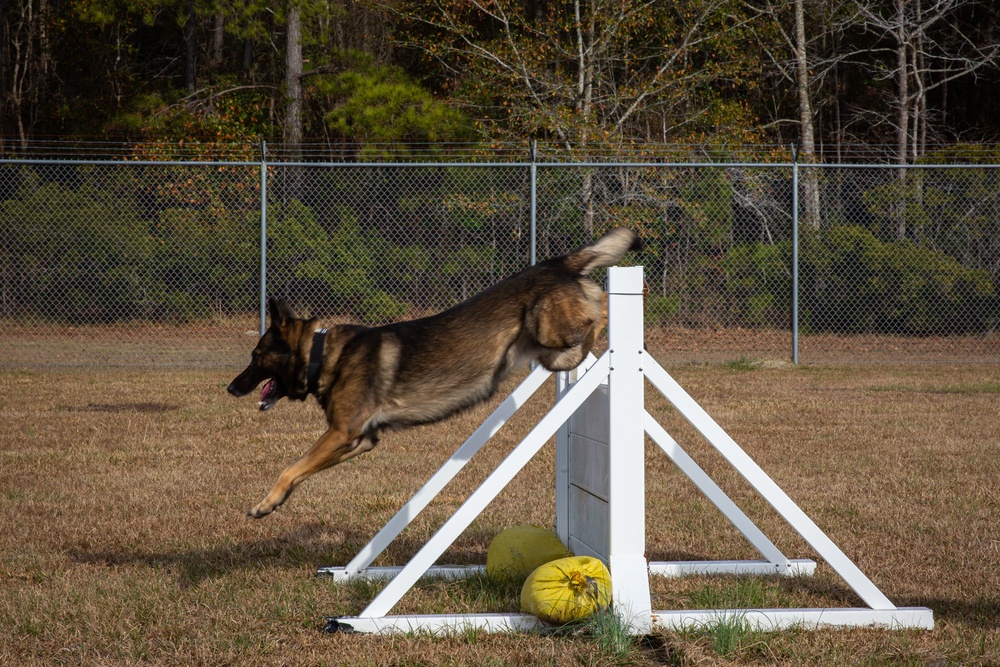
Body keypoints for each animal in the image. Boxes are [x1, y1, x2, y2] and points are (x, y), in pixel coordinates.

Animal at [229, 227, 640, 520]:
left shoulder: (341, 433)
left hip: (550, 331)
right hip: (550, 353)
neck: (322, 355)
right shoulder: (357, 440)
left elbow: (289, 467)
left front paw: (263, 502)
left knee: (603, 307)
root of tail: (557, 263)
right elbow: (300, 470)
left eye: (256, 356)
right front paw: (274, 503)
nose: (231, 387)